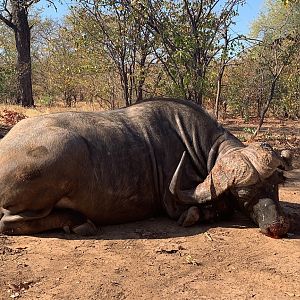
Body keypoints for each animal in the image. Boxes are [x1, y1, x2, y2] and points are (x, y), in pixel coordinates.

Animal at [0, 98, 290, 237]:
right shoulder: (173, 203)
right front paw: (198, 214)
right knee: (8, 222)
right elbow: (210, 209)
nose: (277, 226)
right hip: (68, 150)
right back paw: (80, 223)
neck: (194, 144)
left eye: (274, 184)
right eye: (243, 192)